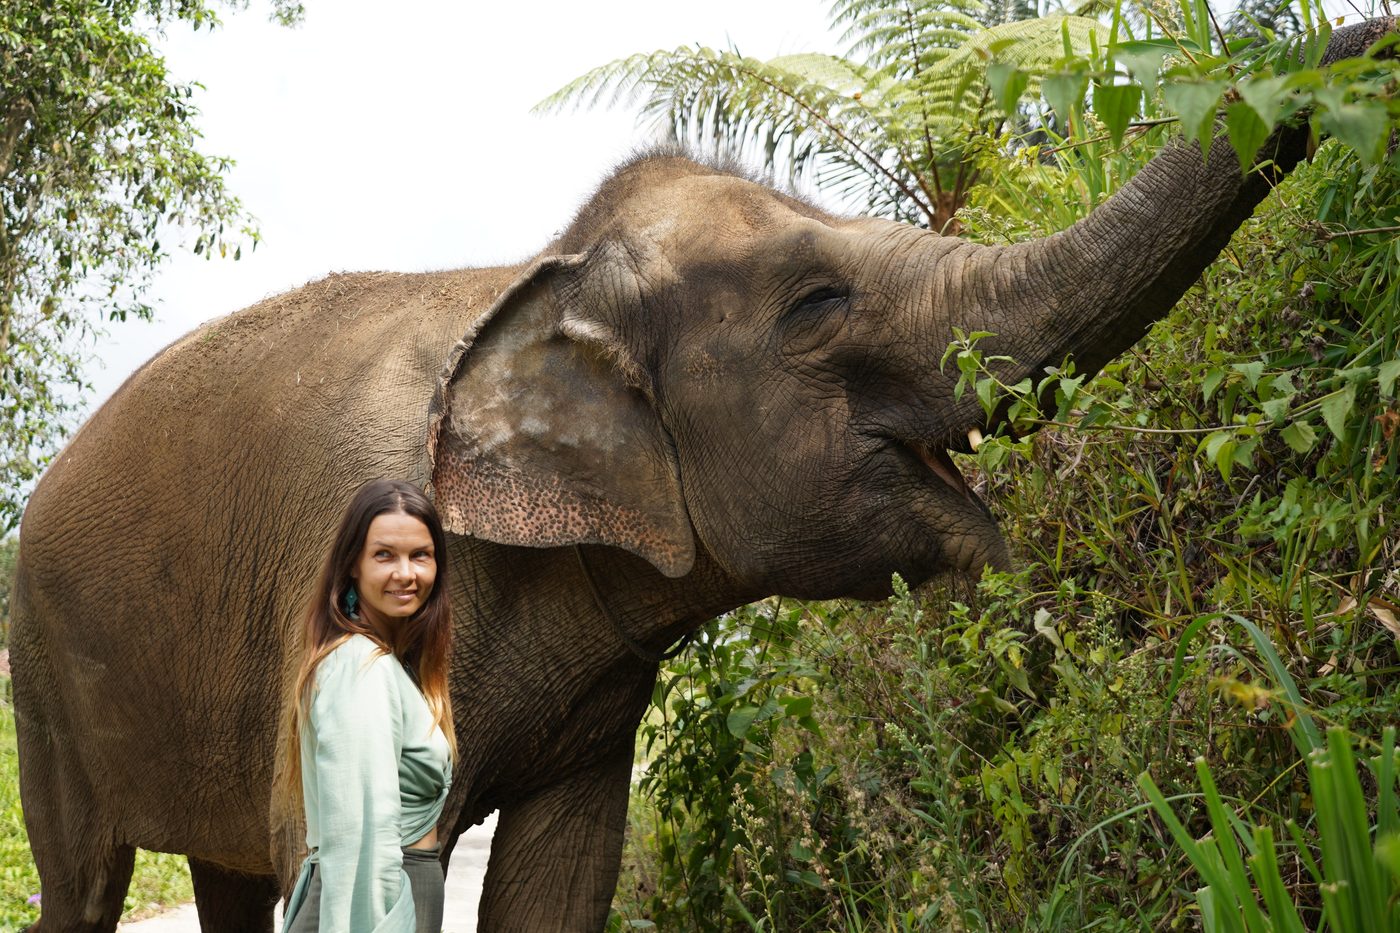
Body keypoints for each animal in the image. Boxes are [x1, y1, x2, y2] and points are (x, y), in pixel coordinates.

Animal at [10, 17, 1395, 933]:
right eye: (818, 306)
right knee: (86, 882)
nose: (1358, 43)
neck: (542, 271)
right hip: (46, 675)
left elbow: (563, 873)